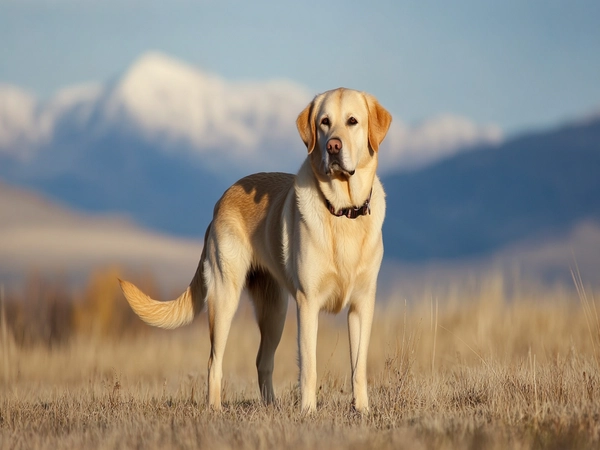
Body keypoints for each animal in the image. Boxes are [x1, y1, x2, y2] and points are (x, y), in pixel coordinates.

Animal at [120, 87, 394, 412]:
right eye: (324, 122)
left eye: (353, 121)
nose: (333, 146)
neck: (342, 210)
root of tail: (220, 201)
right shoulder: (308, 302)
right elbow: (309, 366)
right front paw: (308, 412)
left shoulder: (362, 304)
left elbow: (358, 366)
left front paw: (362, 409)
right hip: (225, 298)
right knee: (214, 362)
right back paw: (215, 409)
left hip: (274, 311)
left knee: (263, 361)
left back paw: (271, 406)